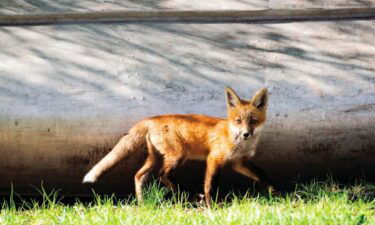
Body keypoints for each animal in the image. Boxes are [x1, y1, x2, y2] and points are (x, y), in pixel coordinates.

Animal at [83, 87, 276, 207]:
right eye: (238, 121)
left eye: (253, 121)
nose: (246, 134)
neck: (236, 140)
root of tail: (152, 118)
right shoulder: (214, 158)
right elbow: (210, 184)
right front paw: (211, 206)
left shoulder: (239, 162)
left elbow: (262, 174)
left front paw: (274, 192)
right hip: (178, 155)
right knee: (162, 175)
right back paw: (182, 194)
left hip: (155, 157)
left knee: (139, 175)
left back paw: (142, 202)